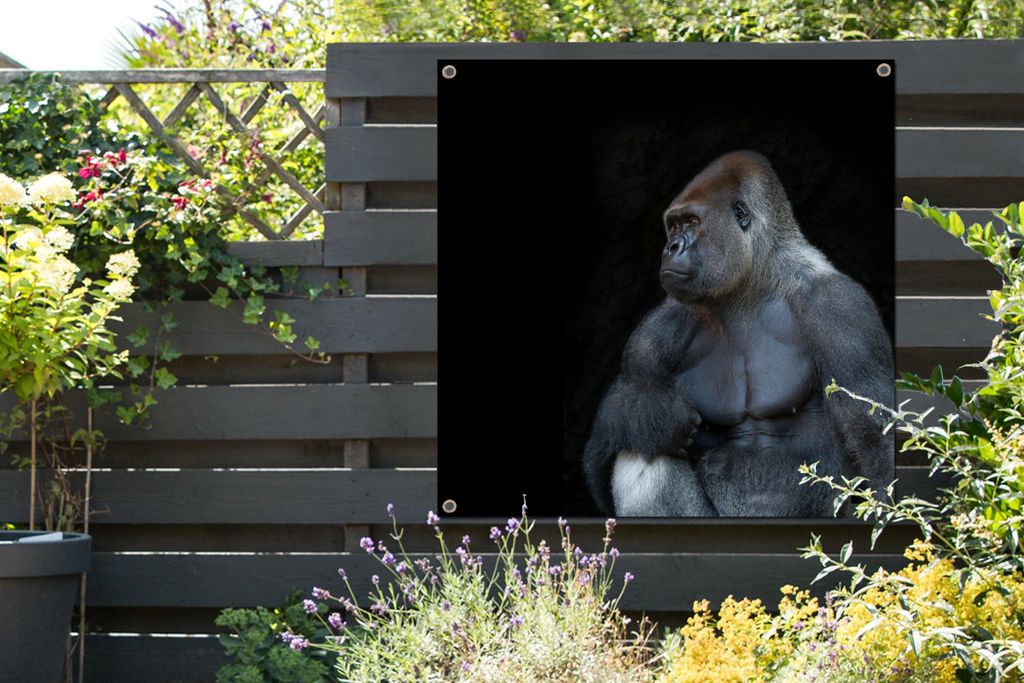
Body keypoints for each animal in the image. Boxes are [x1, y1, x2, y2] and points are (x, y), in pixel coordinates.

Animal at [582, 150, 894, 517]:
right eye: (674, 225)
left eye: (692, 222)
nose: (670, 247)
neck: (753, 284)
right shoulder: (655, 334)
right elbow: (603, 452)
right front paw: (652, 414)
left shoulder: (840, 309)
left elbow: (874, 438)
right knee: (643, 451)